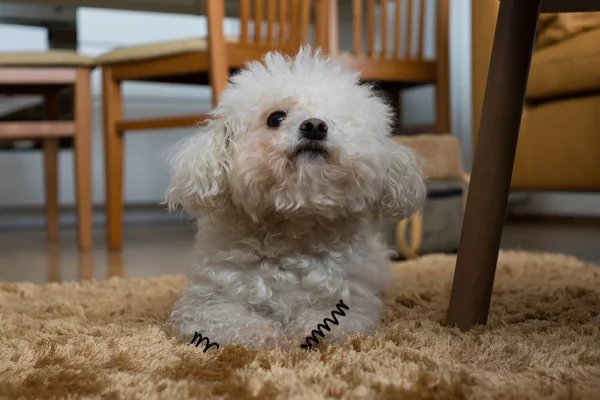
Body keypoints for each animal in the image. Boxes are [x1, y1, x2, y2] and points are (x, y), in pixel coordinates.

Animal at [166, 47, 424, 350]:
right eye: (276, 118)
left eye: (335, 119)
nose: (315, 125)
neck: (293, 226)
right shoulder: (207, 304)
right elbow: (237, 323)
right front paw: (269, 336)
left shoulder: (353, 304)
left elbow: (324, 319)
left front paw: (303, 333)